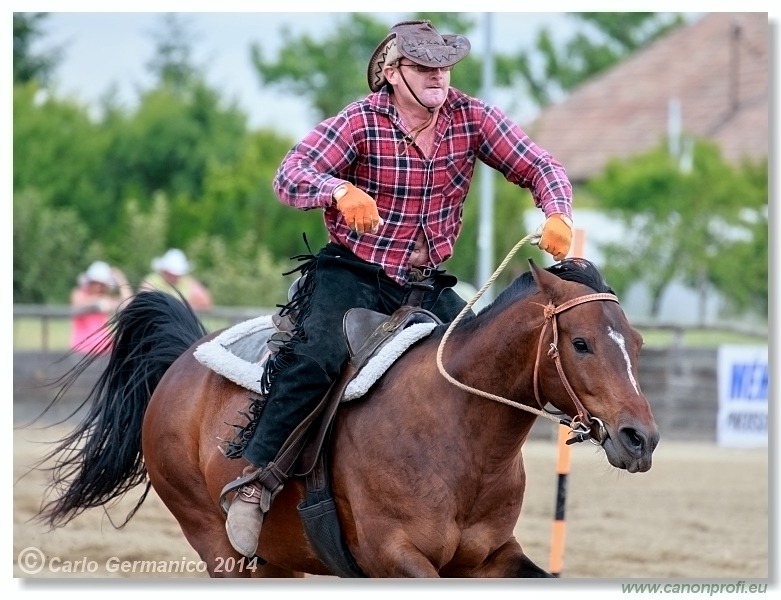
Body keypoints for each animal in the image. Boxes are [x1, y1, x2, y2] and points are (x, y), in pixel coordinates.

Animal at [36, 256, 660, 576]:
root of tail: (185, 355)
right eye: (580, 343)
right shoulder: (396, 559)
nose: (640, 438)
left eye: (636, 341)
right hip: (222, 550)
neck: (458, 436)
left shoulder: (491, 558)